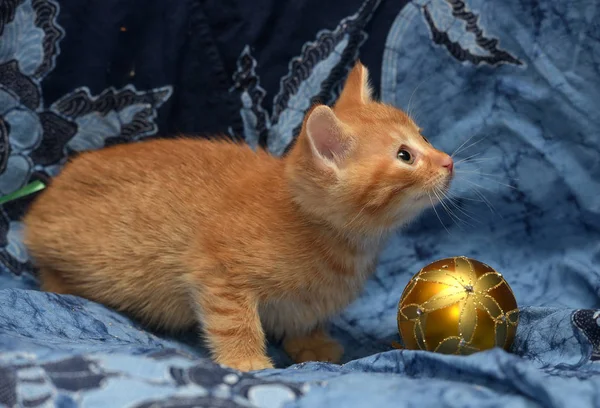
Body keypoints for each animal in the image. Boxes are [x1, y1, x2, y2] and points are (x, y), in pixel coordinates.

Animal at [24, 62, 454, 372]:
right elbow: (234, 320)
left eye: (424, 135)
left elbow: (304, 316)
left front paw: (310, 342)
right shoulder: (217, 271)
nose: (448, 161)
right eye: (404, 156)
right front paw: (246, 360)